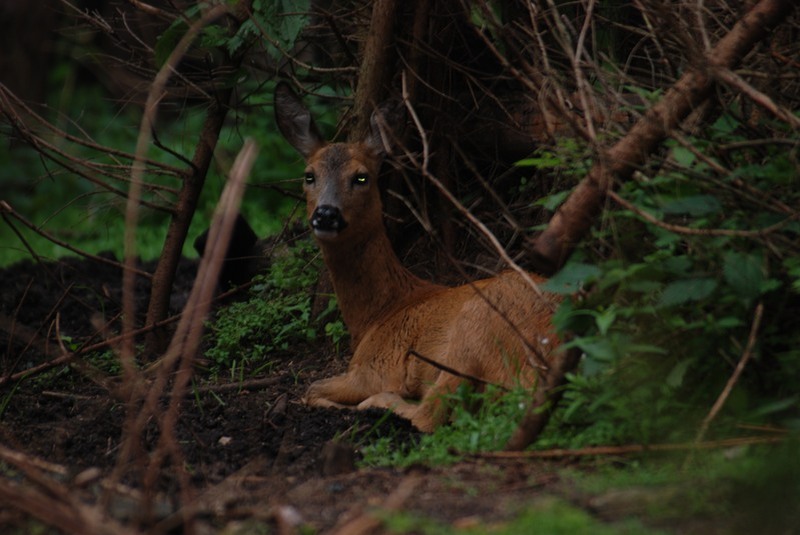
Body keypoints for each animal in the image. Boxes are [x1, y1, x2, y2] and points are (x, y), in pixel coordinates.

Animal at [274, 83, 561, 432]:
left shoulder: (374, 367)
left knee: (430, 415)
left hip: (476, 327)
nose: (326, 214)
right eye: (309, 175)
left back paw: (380, 403)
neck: (378, 315)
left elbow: (311, 389)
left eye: (361, 177)